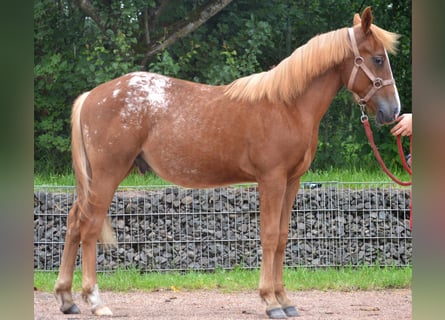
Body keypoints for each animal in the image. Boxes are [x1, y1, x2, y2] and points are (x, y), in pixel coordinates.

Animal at [54, 6, 398, 318]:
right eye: (377, 59)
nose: (393, 111)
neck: (287, 105)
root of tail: (92, 95)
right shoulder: (271, 180)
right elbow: (269, 236)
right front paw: (270, 301)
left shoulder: (292, 181)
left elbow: (282, 237)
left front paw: (285, 300)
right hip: (107, 175)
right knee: (89, 227)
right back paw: (95, 300)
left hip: (98, 179)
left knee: (74, 222)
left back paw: (67, 299)